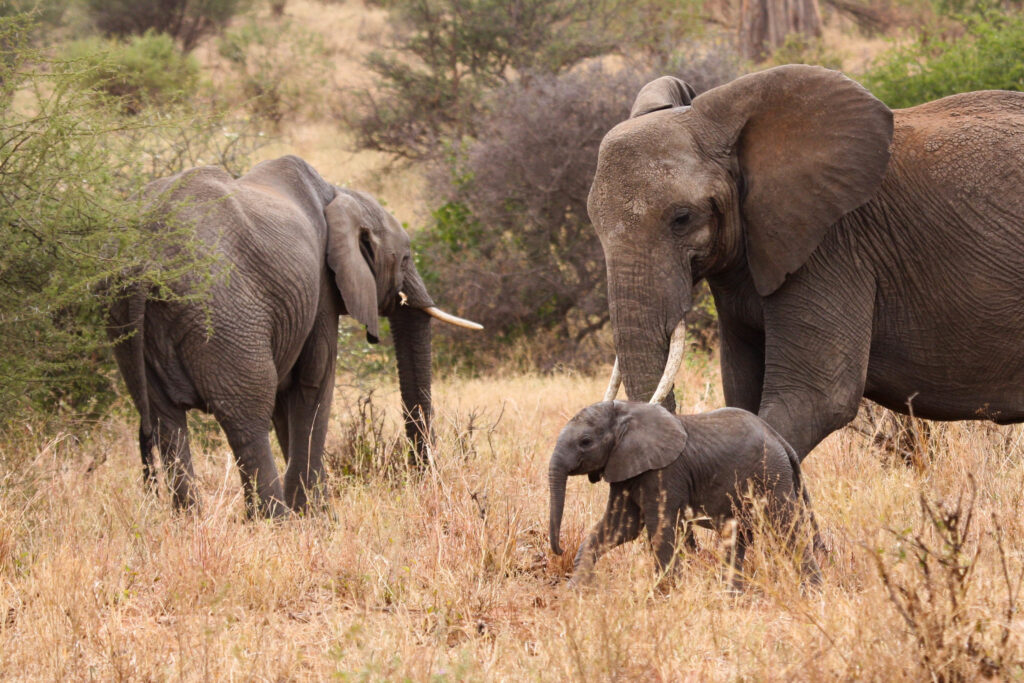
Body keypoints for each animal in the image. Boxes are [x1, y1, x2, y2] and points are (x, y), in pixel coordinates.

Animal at [107, 155, 480, 517]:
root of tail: (146, 258)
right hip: (222, 312)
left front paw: (313, 513)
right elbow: (313, 383)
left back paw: (190, 522)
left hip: (124, 319)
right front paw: (318, 517)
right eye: (405, 258)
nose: (421, 479)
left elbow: (287, 397)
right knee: (247, 416)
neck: (339, 193)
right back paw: (273, 520)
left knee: (166, 420)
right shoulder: (322, 290)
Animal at [548, 401, 822, 589]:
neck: (625, 410)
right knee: (739, 534)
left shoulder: (663, 473)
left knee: (786, 529)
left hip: (772, 476)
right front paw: (575, 589)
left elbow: (658, 527)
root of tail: (780, 440)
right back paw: (732, 597)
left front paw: (667, 592)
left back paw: (812, 592)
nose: (560, 550)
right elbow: (620, 527)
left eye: (585, 441)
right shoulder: (624, 469)